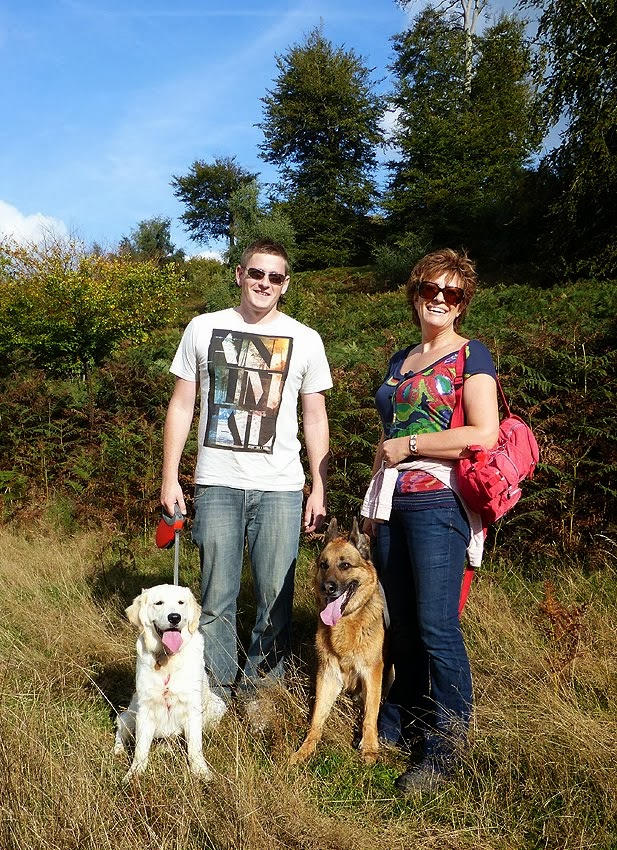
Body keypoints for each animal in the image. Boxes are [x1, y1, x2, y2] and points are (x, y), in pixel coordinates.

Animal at [114, 584, 225, 780]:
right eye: (159, 603)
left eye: (181, 602)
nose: (174, 617)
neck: (167, 658)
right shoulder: (145, 709)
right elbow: (140, 749)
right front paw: (134, 774)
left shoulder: (192, 708)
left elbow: (195, 747)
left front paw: (201, 772)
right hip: (131, 713)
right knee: (121, 726)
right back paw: (118, 749)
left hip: (217, 705)